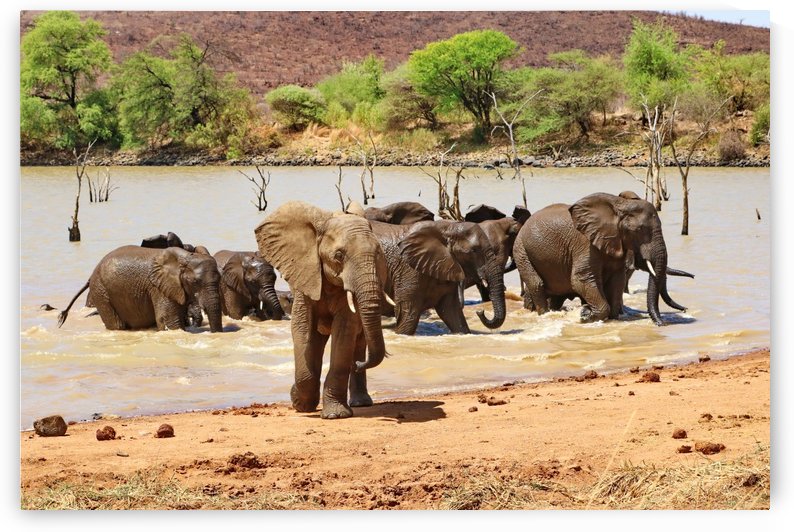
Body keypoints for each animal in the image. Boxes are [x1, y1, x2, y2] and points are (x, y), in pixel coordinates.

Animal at [58, 246, 224, 332]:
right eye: (194, 282)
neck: (186, 257)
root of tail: (91, 275)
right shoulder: (158, 288)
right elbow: (170, 321)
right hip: (101, 291)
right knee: (116, 325)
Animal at [255, 201, 389, 419]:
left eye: (379, 254)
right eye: (339, 256)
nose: (358, 364)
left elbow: (344, 333)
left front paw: (335, 415)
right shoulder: (305, 279)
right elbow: (302, 329)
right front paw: (300, 404)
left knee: (358, 341)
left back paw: (360, 401)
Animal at [370, 218, 507, 335]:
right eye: (474, 250)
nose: (480, 311)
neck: (448, 227)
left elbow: (452, 312)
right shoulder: (408, 270)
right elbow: (407, 314)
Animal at [512, 192, 686, 325]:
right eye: (639, 229)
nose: (661, 324)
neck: (619, 206)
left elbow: (617, 280)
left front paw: (610, 317)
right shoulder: (585, 244)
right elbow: (581, 279)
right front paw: (585, 315)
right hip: (521, 250)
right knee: (537, 284)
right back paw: (544, 314)